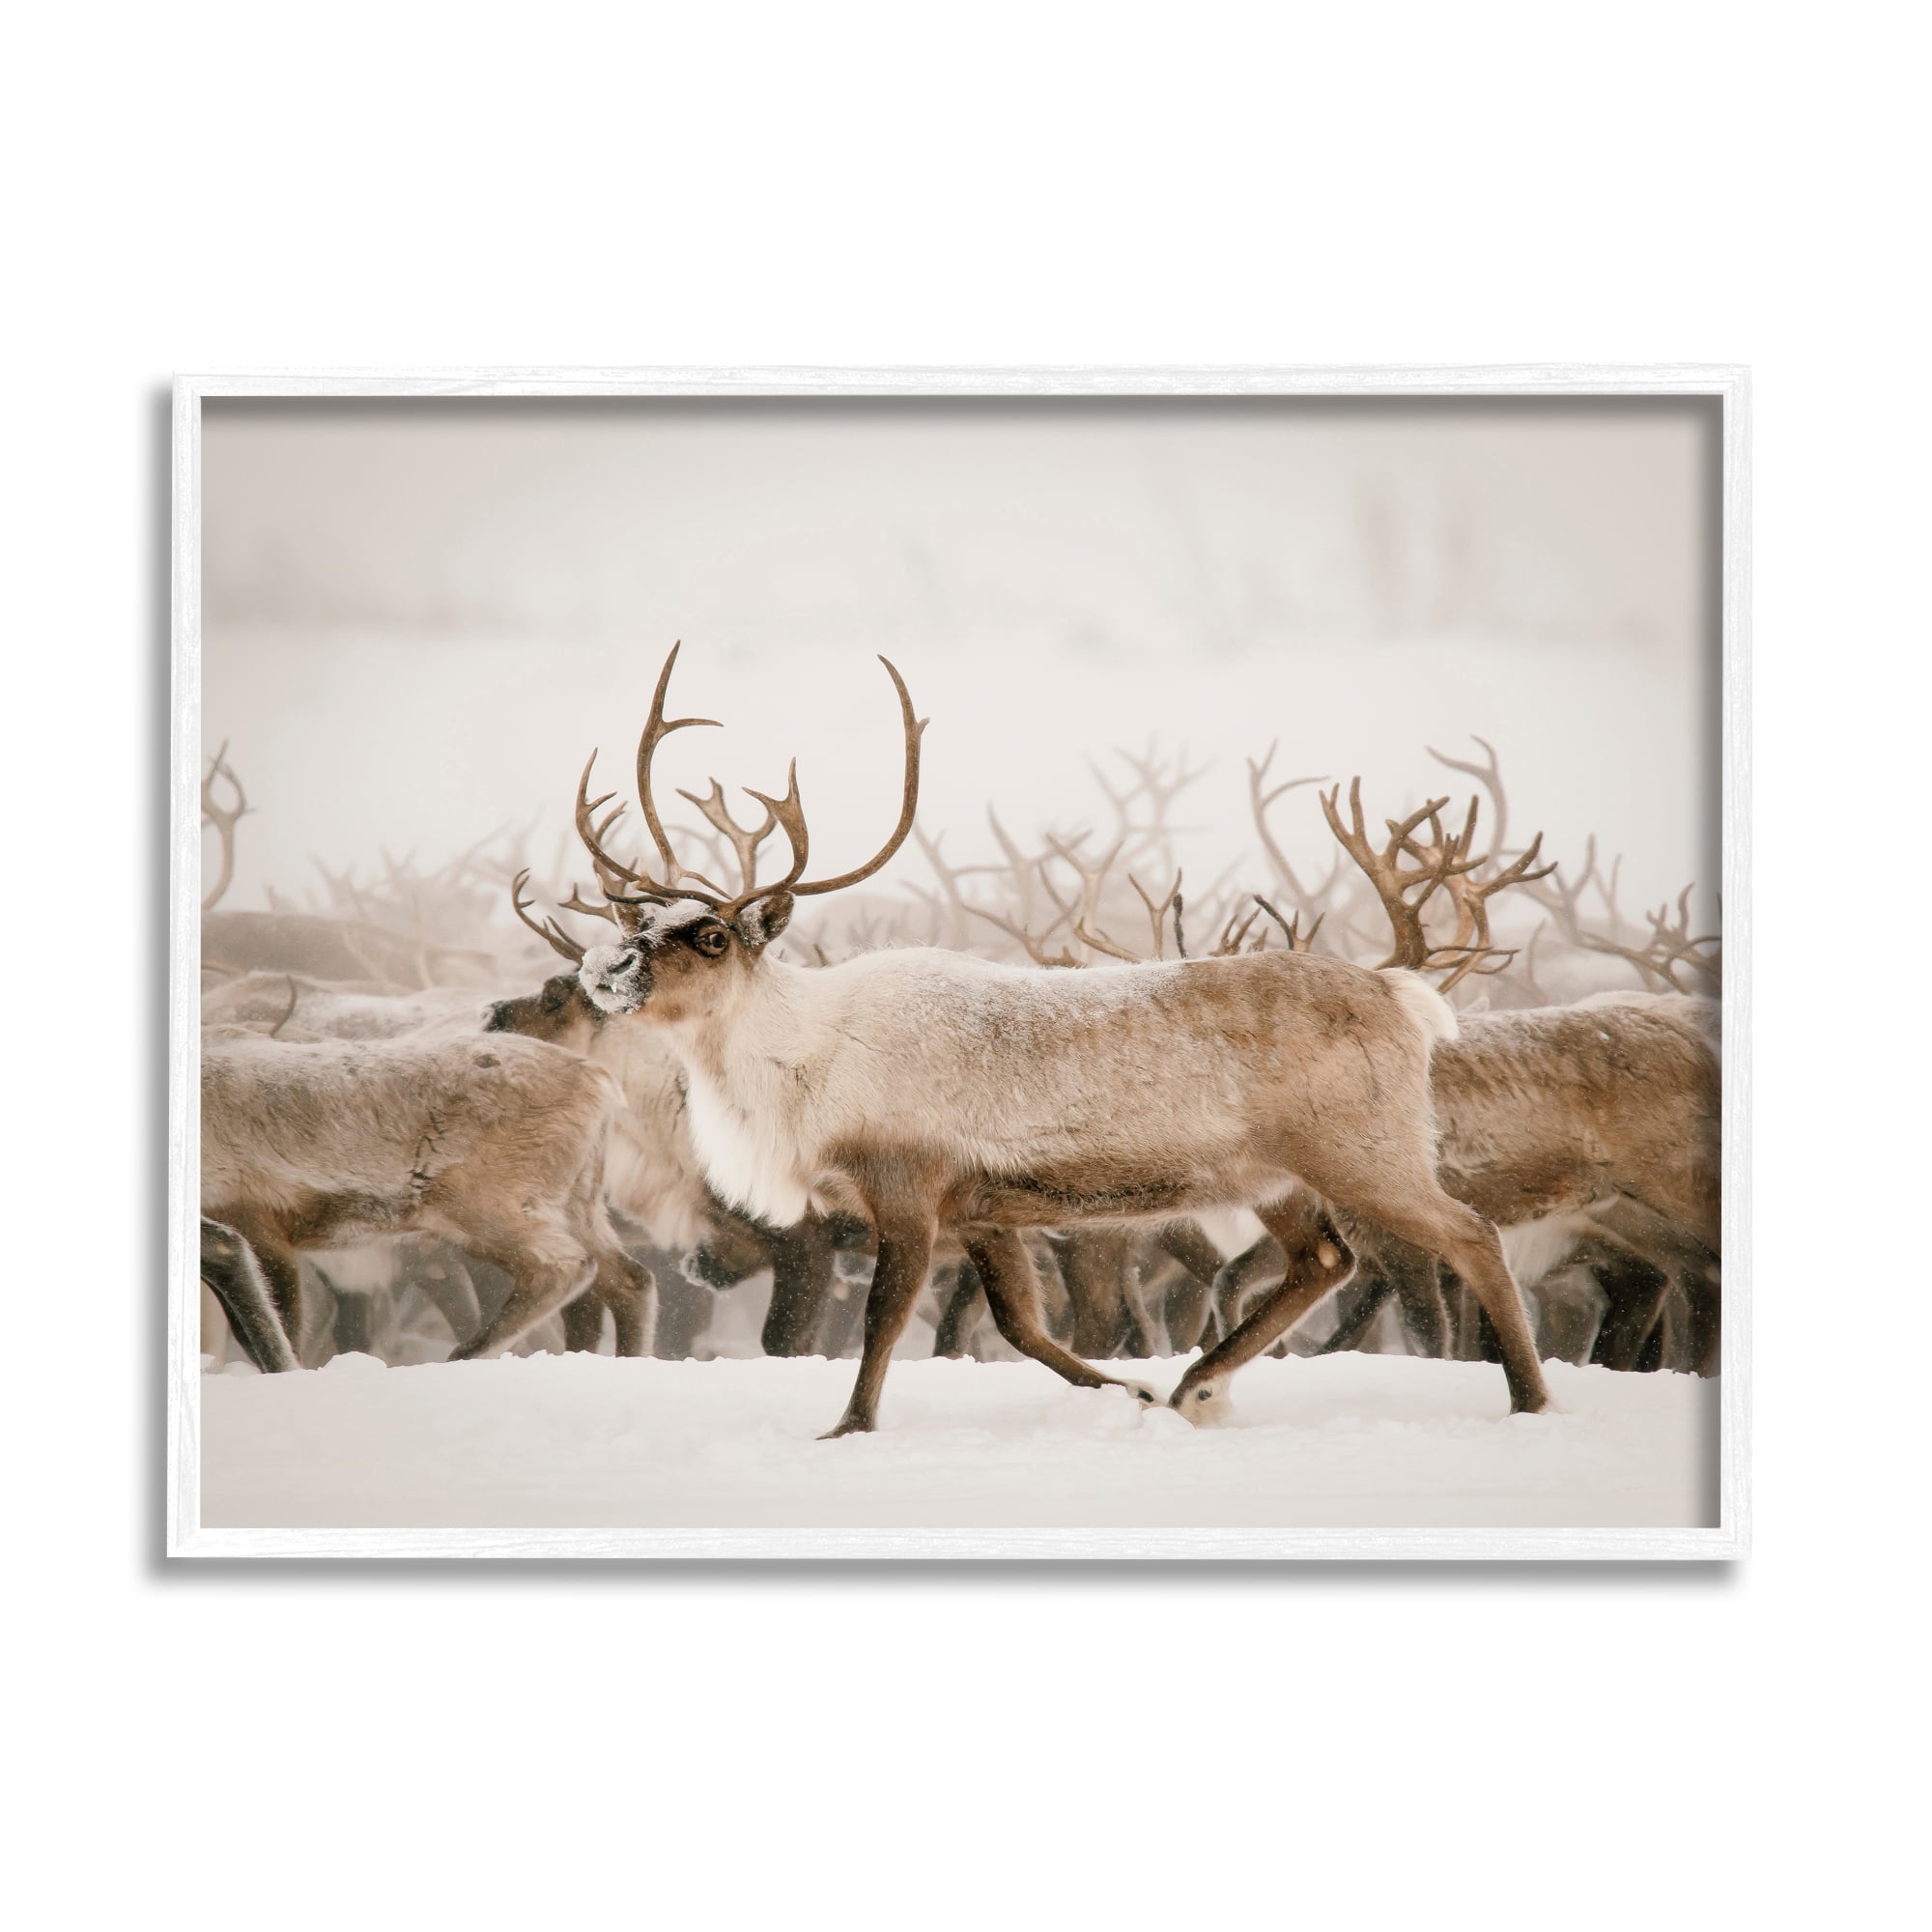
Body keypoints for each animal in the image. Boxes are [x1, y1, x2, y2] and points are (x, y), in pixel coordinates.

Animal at [556, 643, 1551, 1437]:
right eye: (638, 917)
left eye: (711, 936)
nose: (605, 967)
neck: (800, 1063)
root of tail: (1403, 994)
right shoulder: (985, 1211)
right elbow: (1022, 1327)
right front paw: (1128, 1393)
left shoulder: (907, 1187)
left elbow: (885, 1321)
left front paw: (849, 1428)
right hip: (1277, 1176)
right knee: (1324, 1261)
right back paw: (1195, 1386)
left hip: (1364, 1152)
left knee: (1468, 1234)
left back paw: (1530, 1399)